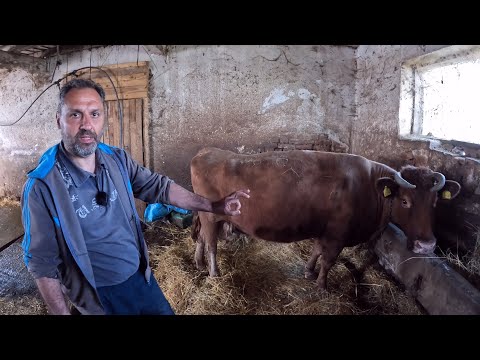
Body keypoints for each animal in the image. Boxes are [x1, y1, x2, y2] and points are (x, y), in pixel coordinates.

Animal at [190, 148, 462, 292]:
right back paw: (213, 272)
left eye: (435, 202)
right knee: (211, 243)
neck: (368, 186)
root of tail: (206, 152)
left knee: (201, 239)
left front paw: (309, 272)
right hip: (211, 217)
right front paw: (322, 285)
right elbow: (328, 260)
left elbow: (316, 251)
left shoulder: (326, 230)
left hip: (206, 216)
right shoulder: (338, 234)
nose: (426, 245)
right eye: (405, 201)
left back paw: (199, 263)